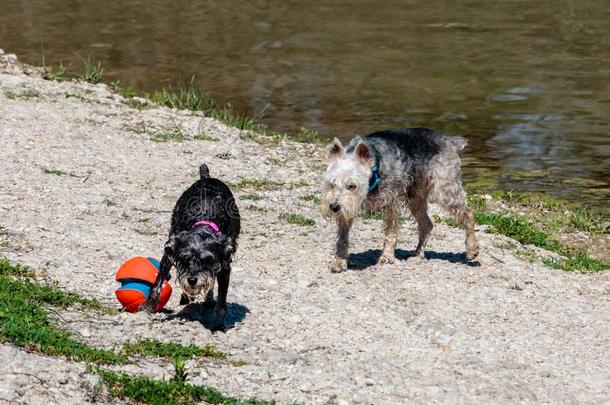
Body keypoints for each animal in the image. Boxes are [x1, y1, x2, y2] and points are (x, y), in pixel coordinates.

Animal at [320, 127, 478, 272]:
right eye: (331, 184)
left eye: (352, 186)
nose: (334, 207)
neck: (374, 172)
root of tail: (449, 140)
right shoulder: (348, 209)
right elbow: (342, 238)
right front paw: (339, 261)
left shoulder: (392, 203)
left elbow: (390, 233)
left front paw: (387, 257)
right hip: (415, 197)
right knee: (427, 224)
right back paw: (418, 254)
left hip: (446, 190)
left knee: (468, 214)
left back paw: (472, 249)